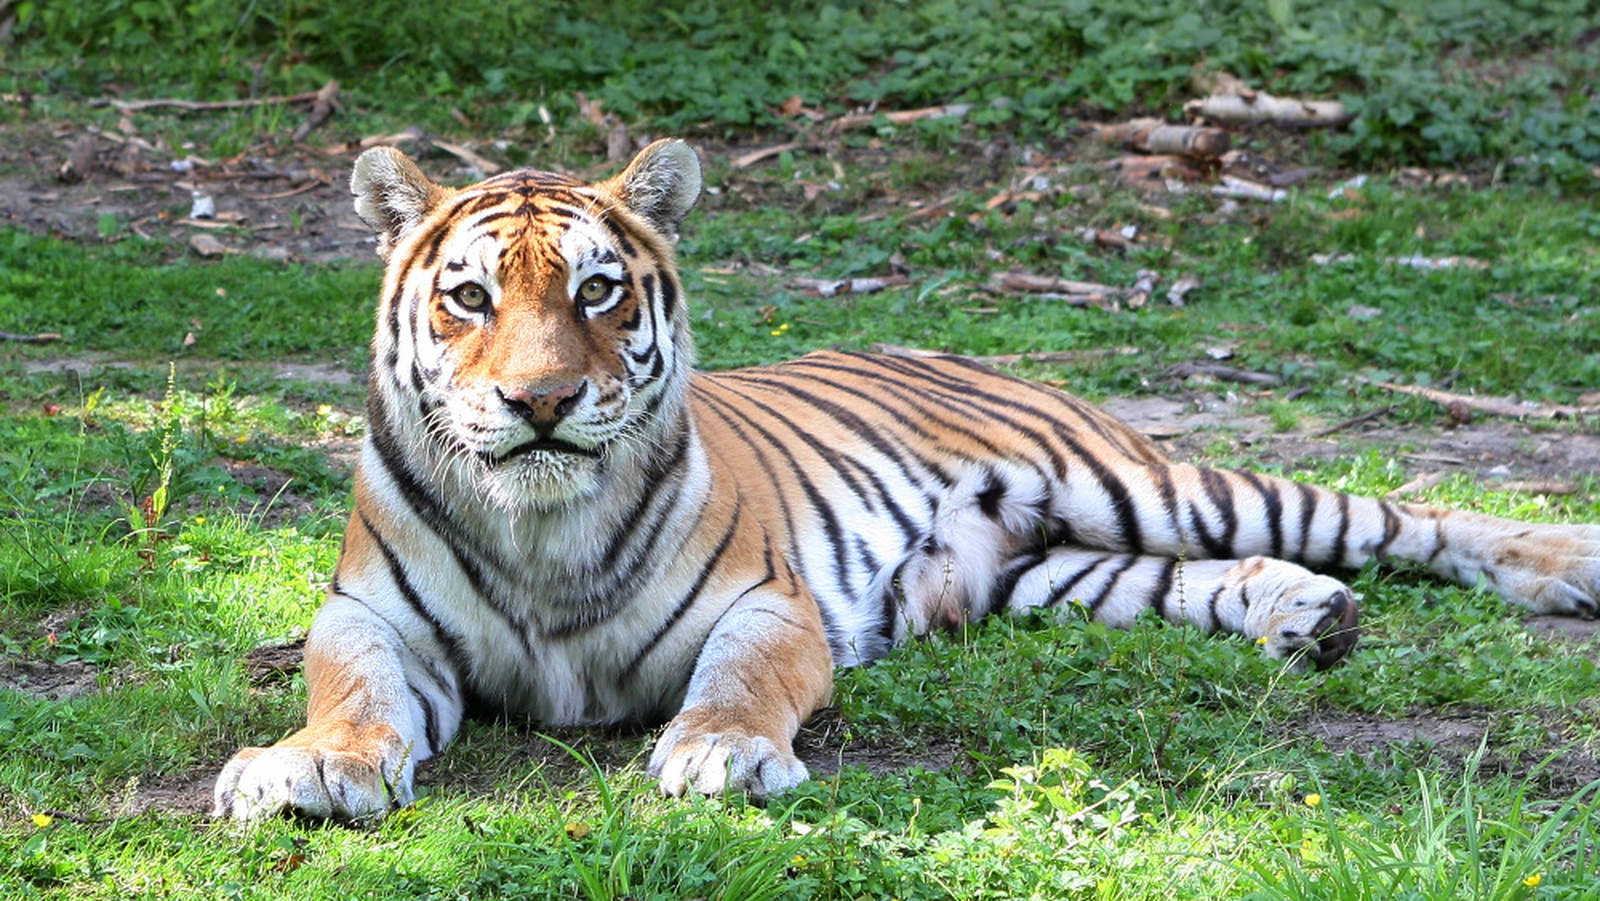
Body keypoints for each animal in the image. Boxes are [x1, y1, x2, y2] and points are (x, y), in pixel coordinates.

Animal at [216, 139, 1600, 825]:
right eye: (469, 298)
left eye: (599, 291)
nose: (542, 402)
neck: (542, 524)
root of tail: (948, 347)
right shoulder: (369, 617)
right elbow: (352, 692)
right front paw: (308, 767)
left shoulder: (766, 605)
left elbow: (736, 686)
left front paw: (720, 756)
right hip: (1054, 572)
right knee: (1200, 577)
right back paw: (1308, 615)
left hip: (1145, 480)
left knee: (1395, 511)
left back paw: (1562, 563)